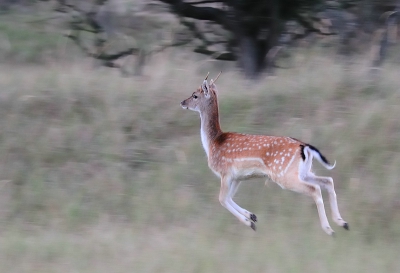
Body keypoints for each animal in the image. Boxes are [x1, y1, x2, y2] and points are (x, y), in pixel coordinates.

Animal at [180, 72, 348, 234]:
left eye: (195, 95)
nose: (182, 102)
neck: (212, 143)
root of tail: (305, 147)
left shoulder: (225, 172)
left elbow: (222, 199)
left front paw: (249, 222)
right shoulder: (238, 177)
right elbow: (228, 198)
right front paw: (252, 216)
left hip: (283, 174)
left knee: (315, 189)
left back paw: (329, 229)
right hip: (303, 171)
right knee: (328, 181)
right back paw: (342, 223)